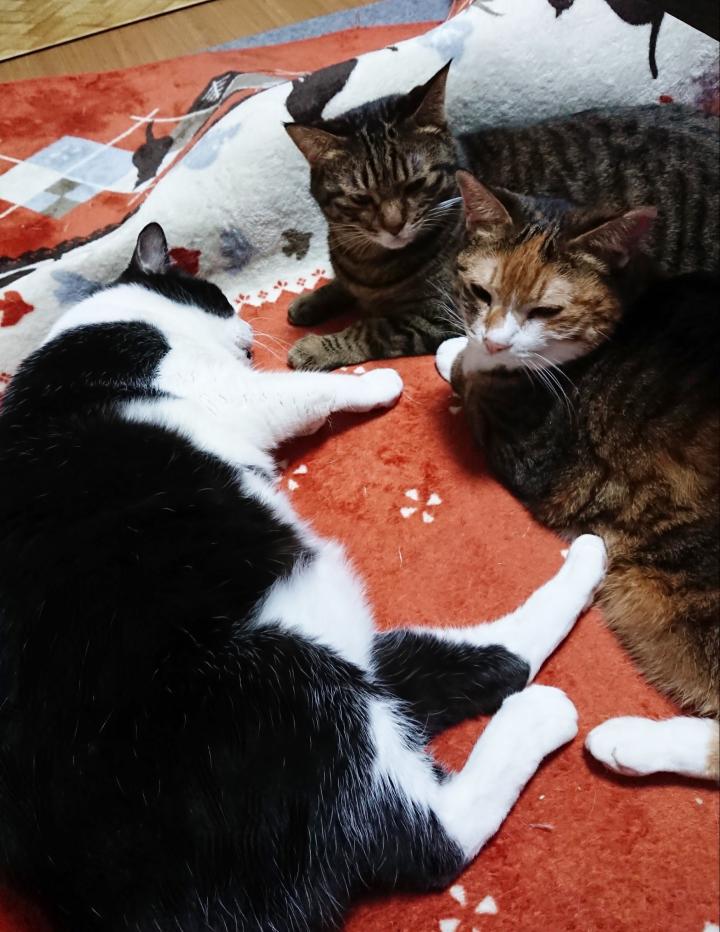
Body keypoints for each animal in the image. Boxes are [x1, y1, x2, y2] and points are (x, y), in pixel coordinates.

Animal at [0, 222, 608, 930]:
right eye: (218, 297)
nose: (243, 323)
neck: (112, 324)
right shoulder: (223, 390)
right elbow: (301, 393)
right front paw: (376, 384)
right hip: (288, 682)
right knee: (429, 829)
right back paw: (544, 703)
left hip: (320, 646)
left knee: (462, 668)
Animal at [285, 66, 718, 371]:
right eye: (360, 197)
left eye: (417, 184)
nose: (394, 225)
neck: (368, 260)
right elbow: (340, 285)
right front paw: (309, 300)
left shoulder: (435, 315)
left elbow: (372, 330)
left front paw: (316, 346)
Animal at [436, 171, 719, 781]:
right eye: (481, 293)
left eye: (545, 310)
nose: (496, 337)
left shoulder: (527, 448)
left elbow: (469, 374)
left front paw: (456, 354)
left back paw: (629, 742)